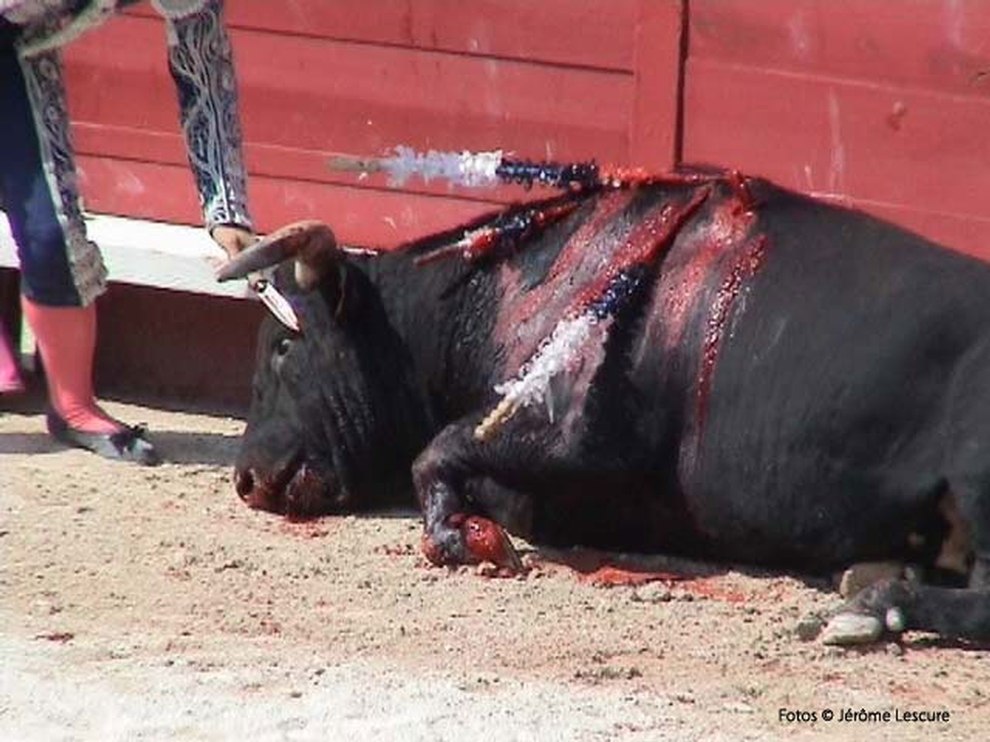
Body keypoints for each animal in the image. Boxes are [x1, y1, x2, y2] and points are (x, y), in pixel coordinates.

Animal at [221, 177, 990, 648]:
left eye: (285, 344)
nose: (246, 479)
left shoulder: (572, 435)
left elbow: (438, 452)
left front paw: (469, 538)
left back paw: (869, 606)